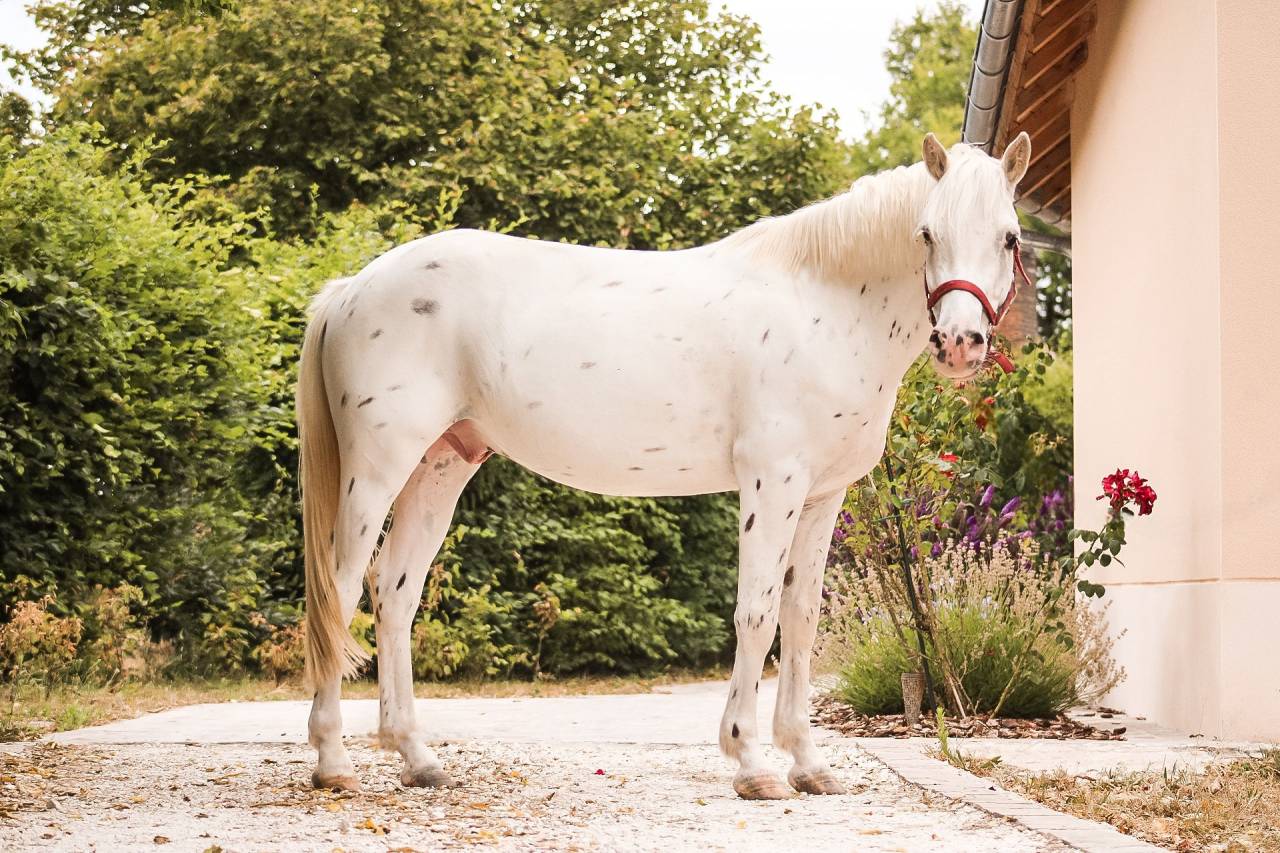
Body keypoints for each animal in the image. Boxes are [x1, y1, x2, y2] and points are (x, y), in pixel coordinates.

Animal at [296, 131, 1032, 800]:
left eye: (1009, 238)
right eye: (927, 233)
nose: (960, 343)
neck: (823, 303)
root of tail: (351, 288)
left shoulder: (823, 495)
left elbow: (800, 618)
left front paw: (809, 764)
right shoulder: (773, 481)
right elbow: (756, 613)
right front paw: (752, 763)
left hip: (441, 465)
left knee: (395, 591)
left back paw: (417, 757)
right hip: (379, 467)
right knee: (341, 590)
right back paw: (335, 764)